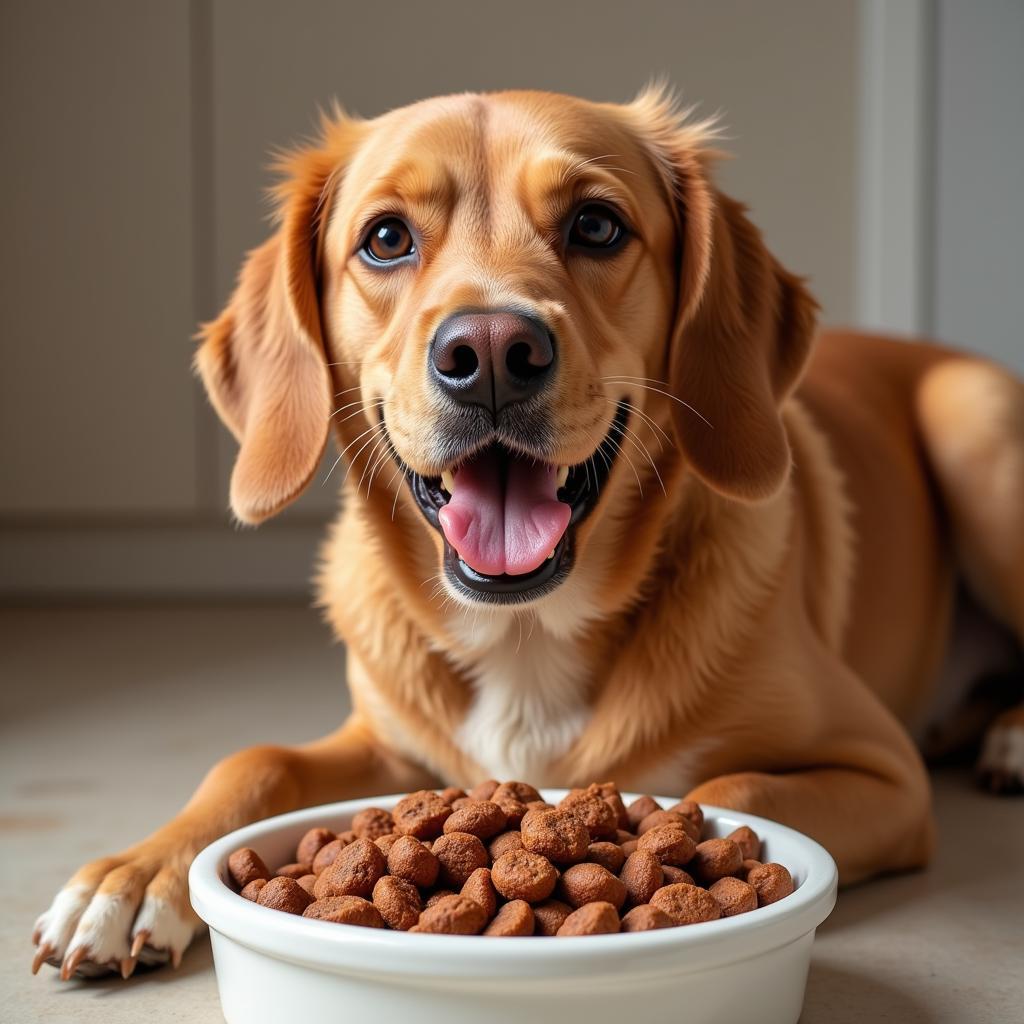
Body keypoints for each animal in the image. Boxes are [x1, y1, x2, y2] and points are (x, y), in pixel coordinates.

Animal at [32, 90, 1024, 983]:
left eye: (596, 225)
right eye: (385, 238)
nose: (490, 355)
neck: (526, 633)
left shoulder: (885, 774)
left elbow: (722, 788)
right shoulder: (393, 754)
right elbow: (255, 761)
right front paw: (132, 876)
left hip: (974, 427)